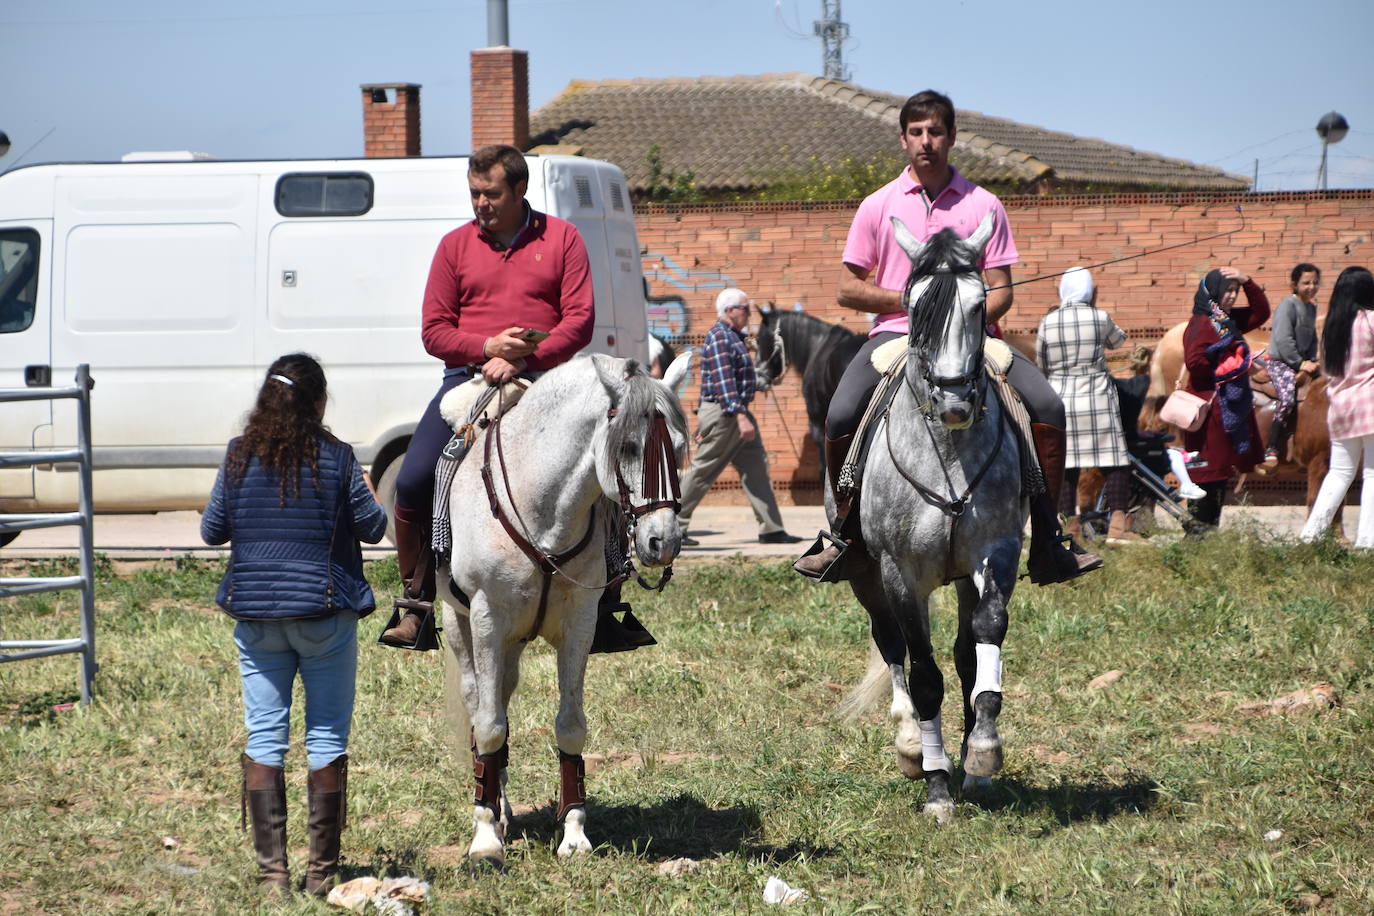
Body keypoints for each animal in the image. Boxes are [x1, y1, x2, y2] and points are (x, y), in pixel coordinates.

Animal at [436, 354, 687, 867]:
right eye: (629, 446)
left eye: (678, 447)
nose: (663, 542)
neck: (541, 510)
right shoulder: (486, 620)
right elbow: (488, 727)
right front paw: (485, 840)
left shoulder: (580, 624)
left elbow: (570, 727)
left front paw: (574, 835)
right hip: (460, 626)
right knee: (480, 705)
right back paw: (492, 811)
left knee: (502, 699)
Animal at [835, 212, 1033, 823]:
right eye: (915, 306)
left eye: (979, 303)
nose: (953, 404)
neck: (946, 448)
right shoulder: (899, 570)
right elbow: (923, 673)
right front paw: (937, 785)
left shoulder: (996, 553)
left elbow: (985, 643)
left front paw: (983, 755)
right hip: (865, 574)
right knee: (891, 645)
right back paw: (908, 747)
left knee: (967, 654)